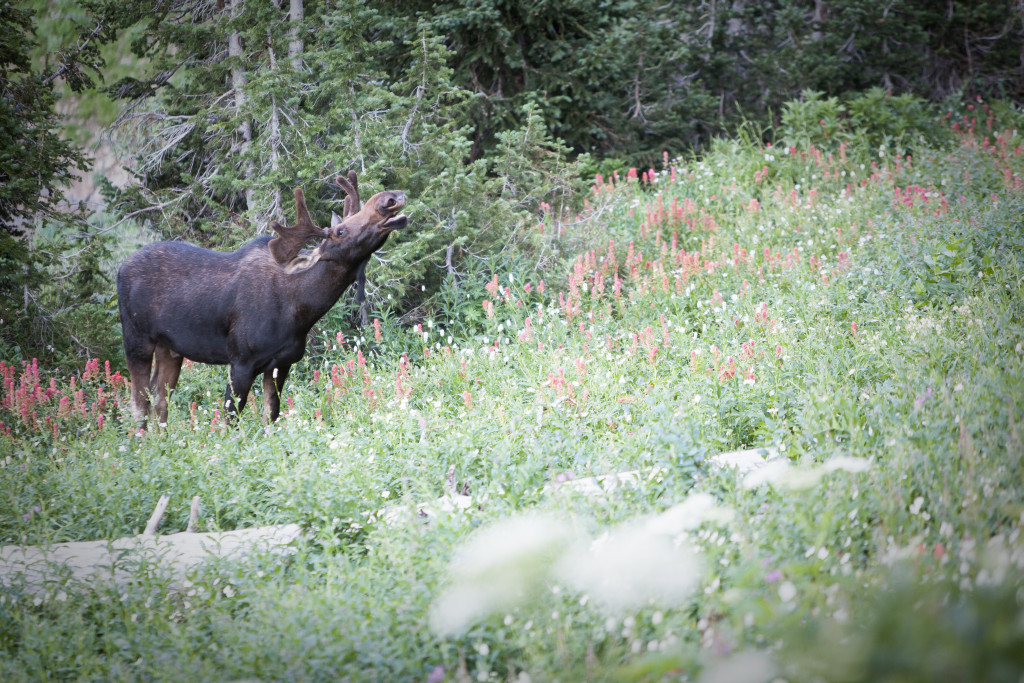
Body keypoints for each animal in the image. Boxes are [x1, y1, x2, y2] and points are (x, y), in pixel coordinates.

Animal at [116, 172, 406, 428]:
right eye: (341, 231)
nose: (390, 198)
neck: (301, 311)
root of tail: (120, 268)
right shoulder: (240, 361)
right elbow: (230, 420)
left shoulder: (282, 362)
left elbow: (271, 417)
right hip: (136, 340)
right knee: (139, 404)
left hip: (170, 348)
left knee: (159, 399)